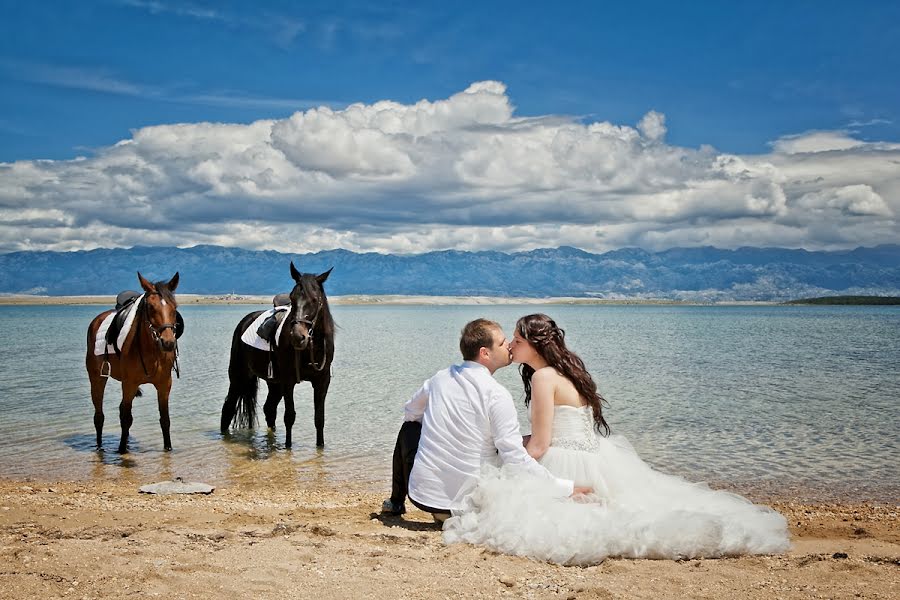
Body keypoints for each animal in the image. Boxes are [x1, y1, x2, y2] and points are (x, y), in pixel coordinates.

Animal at [85, 270, 180, 450]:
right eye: (150, 307)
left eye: (175, 307)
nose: (168, 342)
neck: (152, 352)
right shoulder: (129, 384)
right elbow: (126, 418)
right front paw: (122, 450)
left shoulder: (165, 385)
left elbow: (165, 420)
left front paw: (168, 448)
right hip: (97, 379)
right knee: (99, 416)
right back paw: (100, 447)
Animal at [220, 260, 336, 448]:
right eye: (292, 298)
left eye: (314, 299)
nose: (297, 336)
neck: (310, 349)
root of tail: (245, 321)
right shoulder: (289, 381)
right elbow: (289, 416)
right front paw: (288, 447)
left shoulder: (322, 381)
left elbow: (319, 419)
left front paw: (320, 447)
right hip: (239, 377)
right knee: (228, 408)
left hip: (274, 383)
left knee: (269, 409)